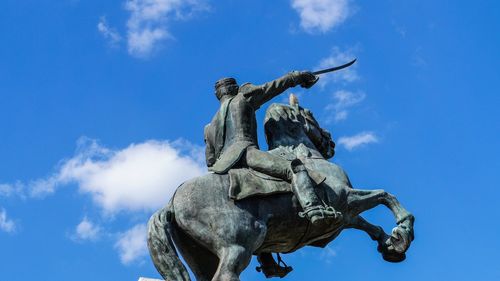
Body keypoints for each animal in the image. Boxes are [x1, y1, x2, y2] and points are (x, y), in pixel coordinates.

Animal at [147, 99, 414, 278]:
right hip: (237, 247)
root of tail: (172, 202)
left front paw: (391, 244)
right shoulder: (345, 199)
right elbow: (384, 195)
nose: (330, 142)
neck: (308, 156)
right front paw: (403, 230)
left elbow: (368, 224)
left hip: (202, 256)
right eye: (310, 114)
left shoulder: (342, 215)